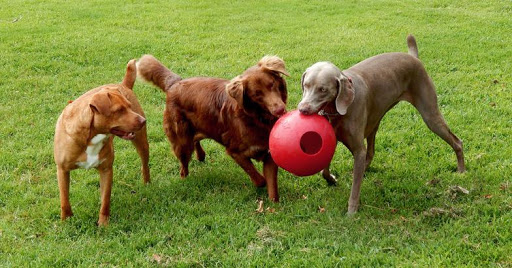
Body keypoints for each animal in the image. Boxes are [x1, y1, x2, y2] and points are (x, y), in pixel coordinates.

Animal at [54, 59, 150, 225]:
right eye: (119, 110)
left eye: (129, 106)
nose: (143, 121)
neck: (90, 136)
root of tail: (123, 84)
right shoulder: (62, 169)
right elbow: (64, 199)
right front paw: (66, 221)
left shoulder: (106, 169)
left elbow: (105, 200)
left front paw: (104, 224)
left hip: (141, 142)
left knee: (145, 164)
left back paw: (147, 184)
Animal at [136, 54, 288, 201]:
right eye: (256, 94)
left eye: (272, 84)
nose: (280, 110)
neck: (257, 118)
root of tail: (175, 83)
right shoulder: (235, 152)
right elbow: (260, 179)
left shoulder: (269, 154)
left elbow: (272, 187)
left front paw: (273, 206)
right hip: (182, 142)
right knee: (183, 166)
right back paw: (185, 179)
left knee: (196, 139)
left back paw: (201, 155)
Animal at [298, 34, 466, 214]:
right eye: (306, 85)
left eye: (323, 90)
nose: (302, 109)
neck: (336, 110)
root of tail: (413, 57)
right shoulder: (332, 137)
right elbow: (325, 169)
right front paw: (332, 180)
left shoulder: (358, 150)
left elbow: (355, 186)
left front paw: (351, 212)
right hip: (376, 118)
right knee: (371, 152)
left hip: (430, 114)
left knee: (457, 141)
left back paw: (461, 171)